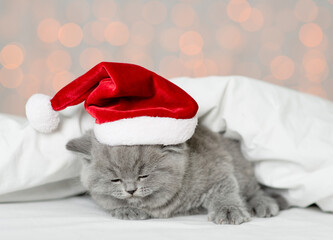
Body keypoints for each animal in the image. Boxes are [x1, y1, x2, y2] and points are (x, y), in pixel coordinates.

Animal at [65, 124, 286, 224]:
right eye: (115, 179)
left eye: (143, 175)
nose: (131, 190)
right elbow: (109, 202)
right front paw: (126, 210)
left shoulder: (219, 166)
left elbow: (225, 190)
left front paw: (228, 211)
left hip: (242, 168)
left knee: (253, 189)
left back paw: (263, 204)